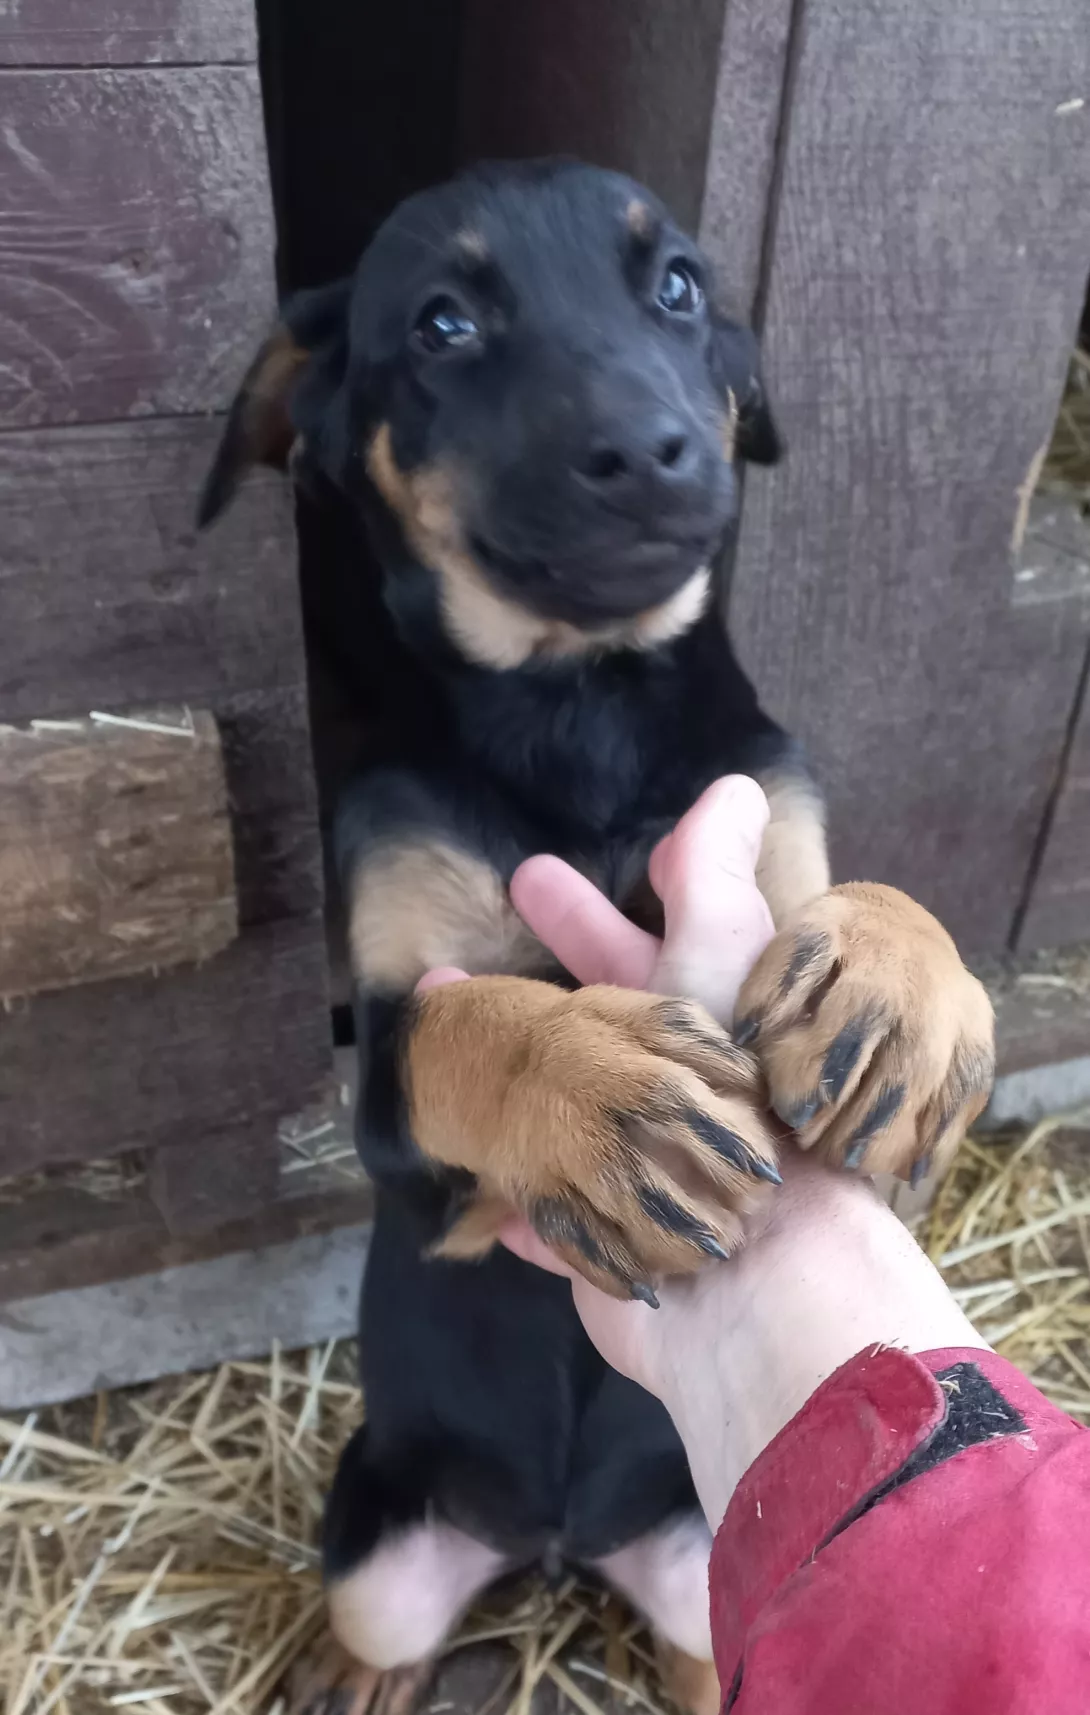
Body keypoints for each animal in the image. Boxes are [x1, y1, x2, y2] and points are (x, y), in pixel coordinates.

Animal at [201, 159, 995, 1715]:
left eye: (678, 285)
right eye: (442, 323)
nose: (650, 450)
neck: (581, 701)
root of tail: (562, 1546)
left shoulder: (766, 813)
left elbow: (867, 891)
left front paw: (900, 997)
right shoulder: (396, 1128)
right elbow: (466, 1016)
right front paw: (599, 1099)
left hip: (702, 1555)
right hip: (377, 1538)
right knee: (382, 1623)